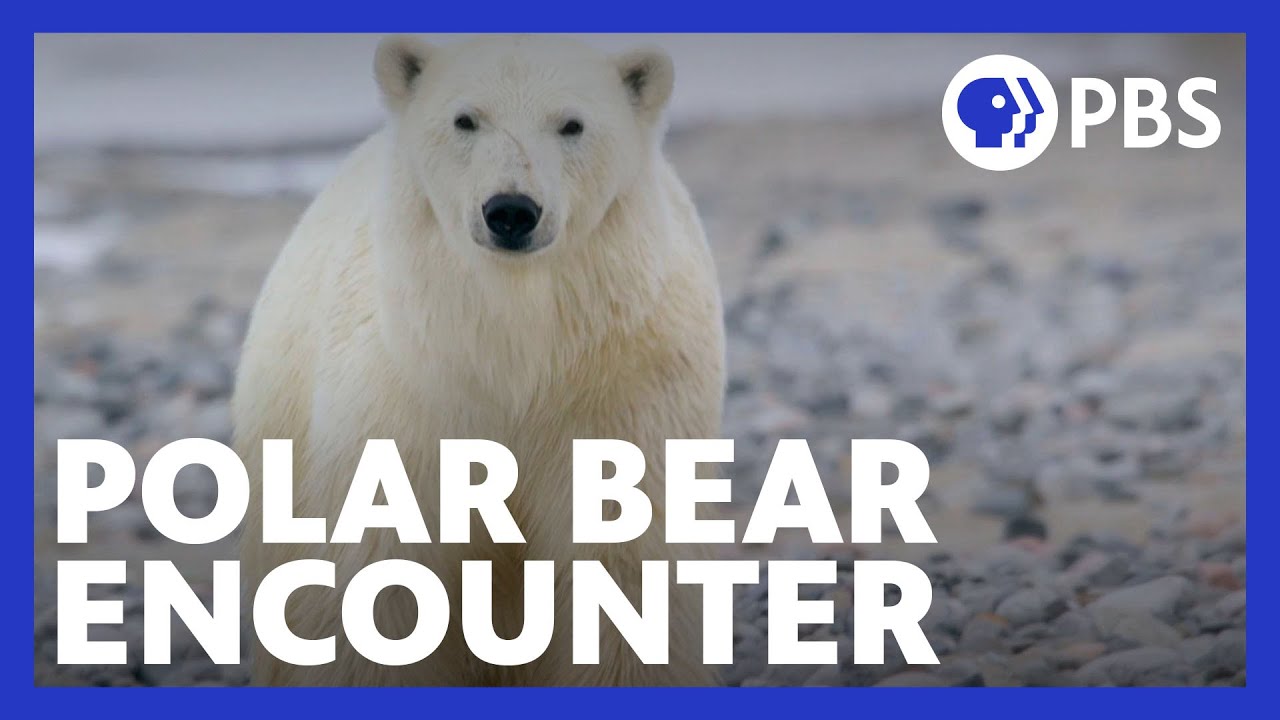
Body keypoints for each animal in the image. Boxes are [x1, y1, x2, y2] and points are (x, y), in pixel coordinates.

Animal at [232, 34, 725, 686]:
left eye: (572, 124)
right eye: (466, 119)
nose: (511, 210)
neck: (512, 345)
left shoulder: (624, 383)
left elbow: (623, 561)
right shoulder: (405, 391)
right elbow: (382, 567)